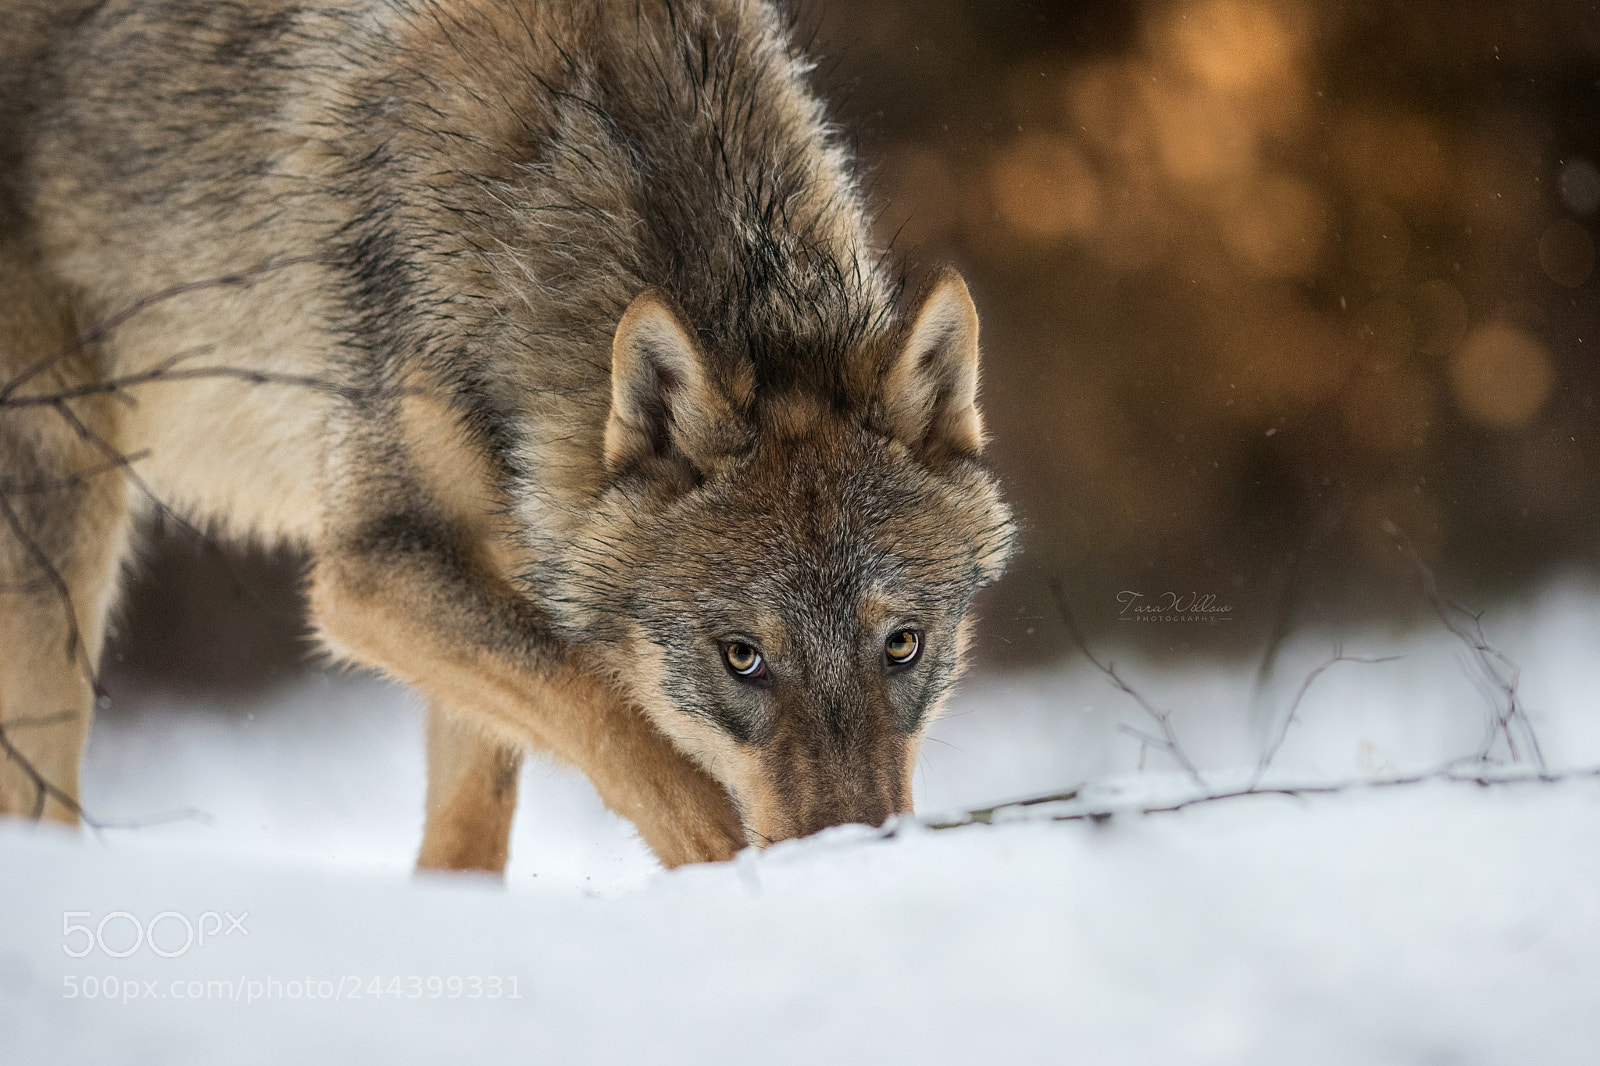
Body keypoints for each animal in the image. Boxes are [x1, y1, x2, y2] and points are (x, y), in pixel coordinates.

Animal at [0, 0, 1016, 871]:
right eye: (742, 657)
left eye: (904, 645)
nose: (854, 865)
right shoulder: (371, 568)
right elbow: (623, 726)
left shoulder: (488, 565)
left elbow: (469, 832)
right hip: (66, 518)